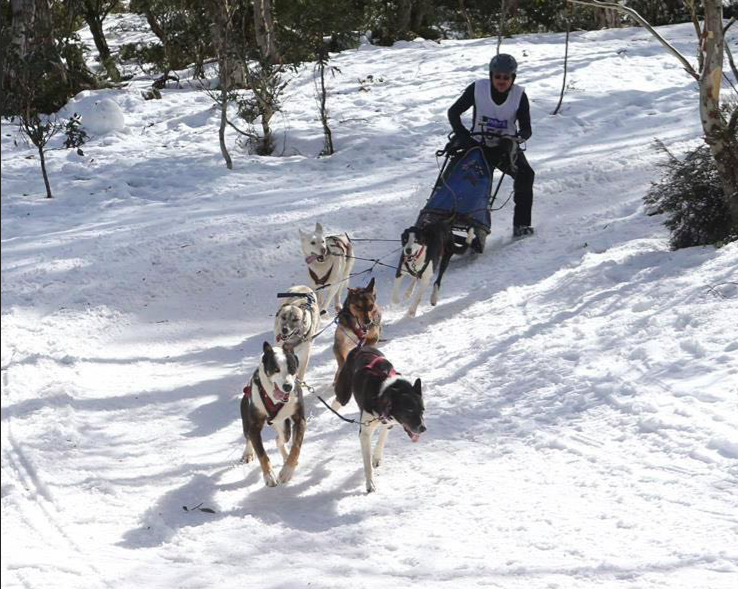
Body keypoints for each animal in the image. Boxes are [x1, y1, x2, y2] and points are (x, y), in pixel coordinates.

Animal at [239, 342, 302, 484]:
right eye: (276, 369)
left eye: (292, 368)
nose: (287, 387)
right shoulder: (255, 426)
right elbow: (262, 454)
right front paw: (268, 476)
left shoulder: (300, 419)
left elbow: (296, 447)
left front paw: (287, 471)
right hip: (246, 421)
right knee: (248, 437)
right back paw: (247, 453)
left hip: (284, 426)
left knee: (280, 439)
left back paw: (286, 458)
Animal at [330, 344, 422, 492]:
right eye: (409, 410)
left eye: (422, 411)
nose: (423, 428)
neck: (382, 393)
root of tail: (360, 346)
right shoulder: (365, 432)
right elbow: (367, 464)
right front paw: (370, 484)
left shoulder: (388, 421)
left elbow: (382, 439)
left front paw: (376, 458)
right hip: (344, 393)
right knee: (338, 400)